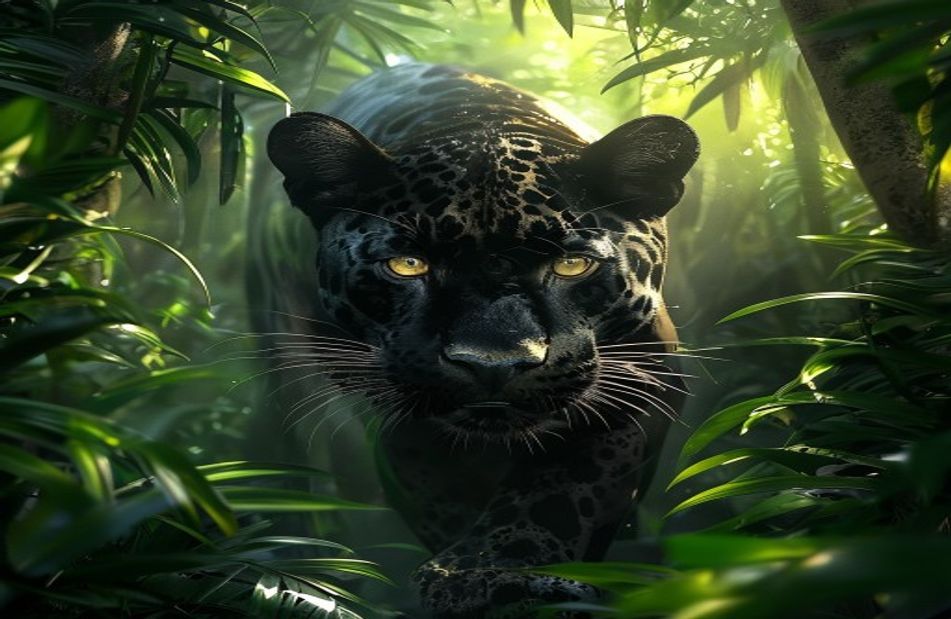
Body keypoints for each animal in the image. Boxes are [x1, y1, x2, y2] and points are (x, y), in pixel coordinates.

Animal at [254, 63, 699, 618]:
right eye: (408, 264)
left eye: (573, 264)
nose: (494, 363)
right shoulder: (407, 421)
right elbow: (441, 496)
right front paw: (473, 577)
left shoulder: (641, 377)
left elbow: (562, 489)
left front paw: (498, 573)